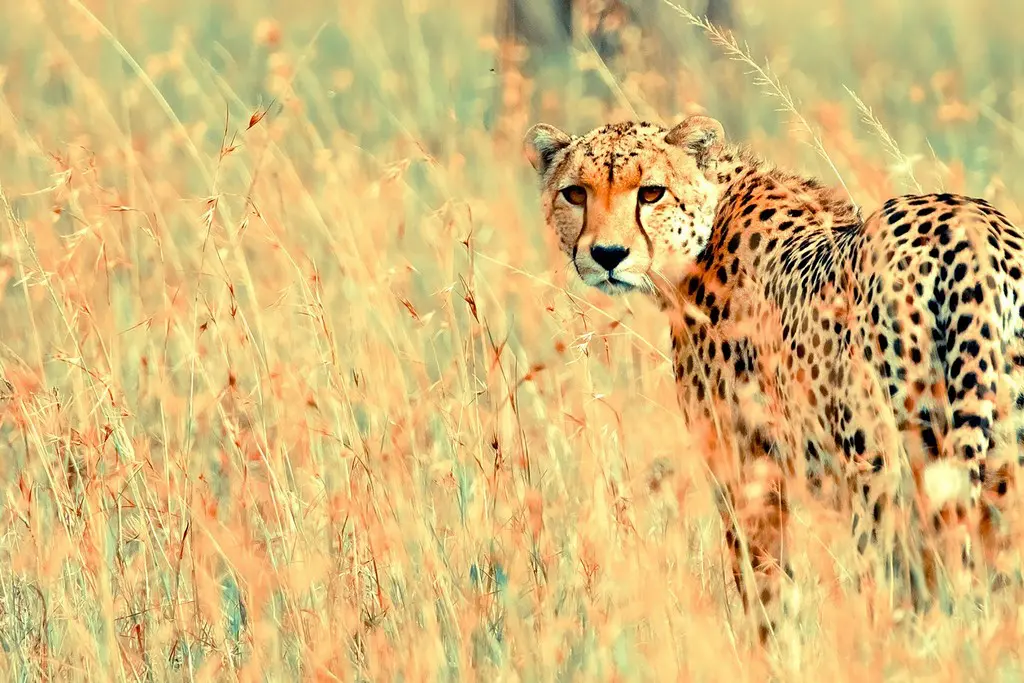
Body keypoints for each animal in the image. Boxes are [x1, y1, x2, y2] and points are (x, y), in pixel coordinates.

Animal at [523, 113, 1024, 644]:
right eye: (575, 194)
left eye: (652, 193)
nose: (607, 254)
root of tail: (968, 225)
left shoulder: (746, 471)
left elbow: (763, 588)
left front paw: (766, 649)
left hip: (884, 470)